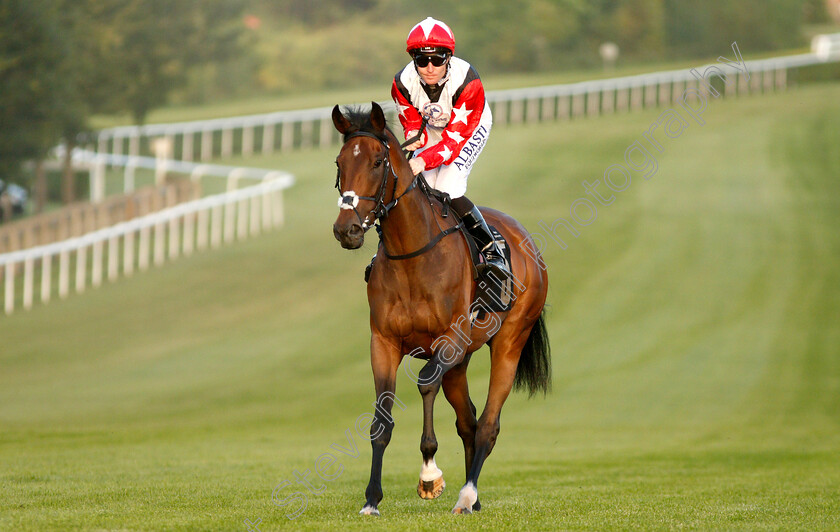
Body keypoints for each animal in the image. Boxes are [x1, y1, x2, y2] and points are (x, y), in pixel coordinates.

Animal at [328, 102, 552, 512]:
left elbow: (425, 382)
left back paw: (467, 494)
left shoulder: (449, 339)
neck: (412, 255)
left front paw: (429, 474)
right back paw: (472, 496)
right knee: (469, 421)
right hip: (461, 363)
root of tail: (525, 239)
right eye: (340, 162)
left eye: (378, 162)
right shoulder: (383, 342)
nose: (346, 228)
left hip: (509, 341)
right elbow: (381, 419)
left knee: (488, 424)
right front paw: (372, 498)